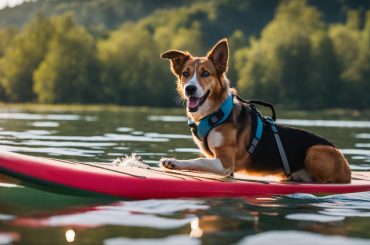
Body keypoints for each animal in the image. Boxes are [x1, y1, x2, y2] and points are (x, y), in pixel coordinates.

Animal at [159, 38, 350, 183]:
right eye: (186, 73)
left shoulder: (225, 163)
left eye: (205, 73)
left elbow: (198, 161)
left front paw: (173, 161)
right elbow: (200, 162)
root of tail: (347, 167)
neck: (216, 113)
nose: (190, 89)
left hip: (315, 152)